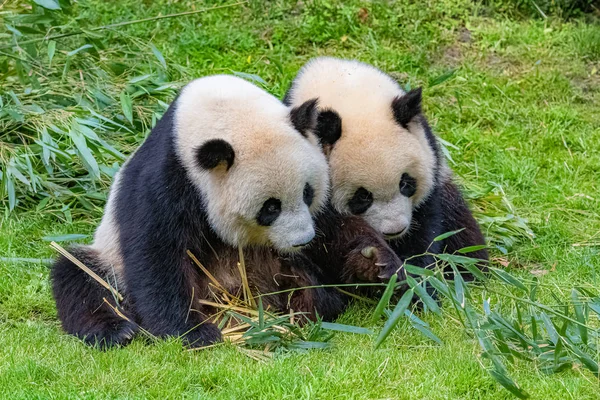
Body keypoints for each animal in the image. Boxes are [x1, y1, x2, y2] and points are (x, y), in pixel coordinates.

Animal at [50, 76, 398, 350]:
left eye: (307, 192)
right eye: (270, 208)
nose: (302, 241)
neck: (220, 109)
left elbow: (334, 228)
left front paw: (374, 261)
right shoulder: (168, 179)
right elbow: (156, 253)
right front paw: (192, 332)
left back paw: (306, 304)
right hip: (109, 258)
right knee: (80, 276)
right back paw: (115, 330)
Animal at [282, 57, 488, 276]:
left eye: (405, 183)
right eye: (362, 196)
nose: (395, 230)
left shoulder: (430, 160)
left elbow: (425, 225)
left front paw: (413, 270)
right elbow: (332, 237)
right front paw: (378, 262)